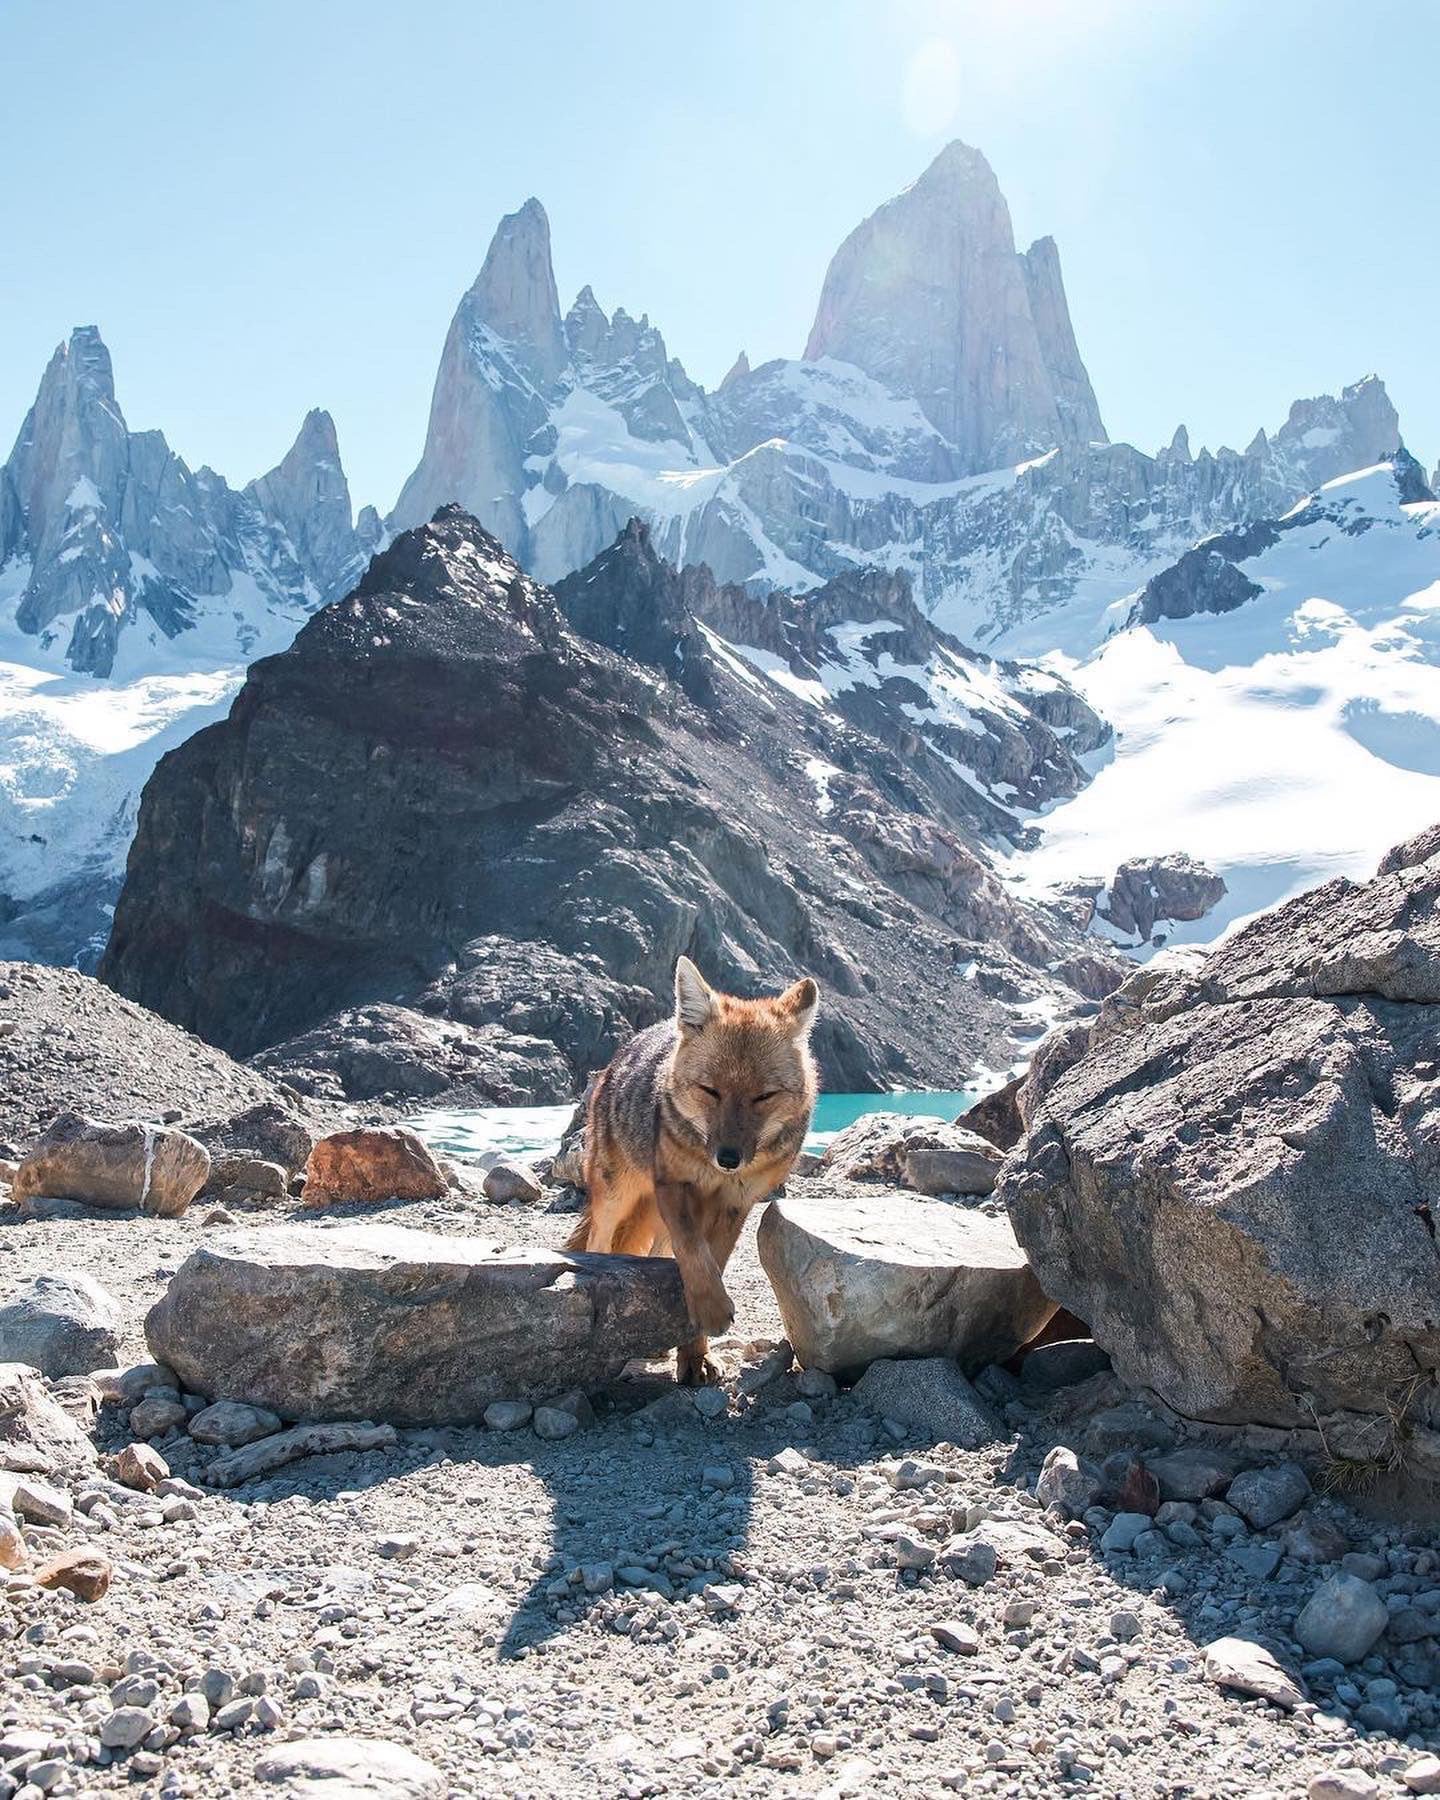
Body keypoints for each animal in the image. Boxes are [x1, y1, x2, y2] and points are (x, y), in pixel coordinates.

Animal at [572, 964, 820, 1382]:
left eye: (763, 1096)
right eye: (710, 1090)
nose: (729, 1159)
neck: (712, 1173)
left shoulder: (735, 1204)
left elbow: (710, 1263)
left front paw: (695, 1352)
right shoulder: (674, 1186)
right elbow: (692, 1251)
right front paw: (710, 1310)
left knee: (658, 1256)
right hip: (615, 1197)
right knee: (599, 1245)